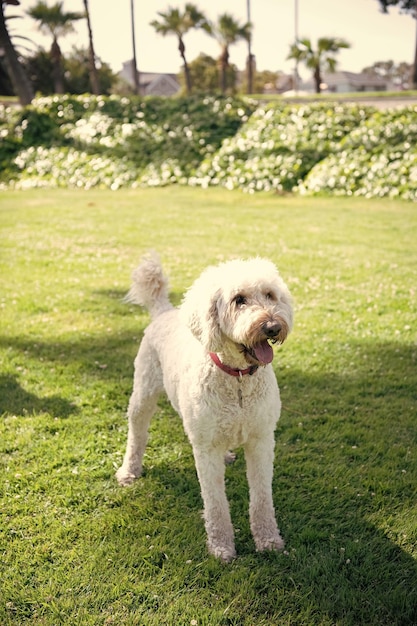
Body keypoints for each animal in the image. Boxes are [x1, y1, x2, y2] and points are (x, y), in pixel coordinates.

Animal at [115, 252, 294, 560]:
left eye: (270, 295)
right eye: (239, 300)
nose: (272, 326)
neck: (237, 378)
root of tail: (164, 311)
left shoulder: (261, 440)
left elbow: (261, 497)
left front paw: (269, 539)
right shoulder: (206, 449)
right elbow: (215, 504)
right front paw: (222, 547)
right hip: (143, 393)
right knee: (137, 433)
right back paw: (129, 470)